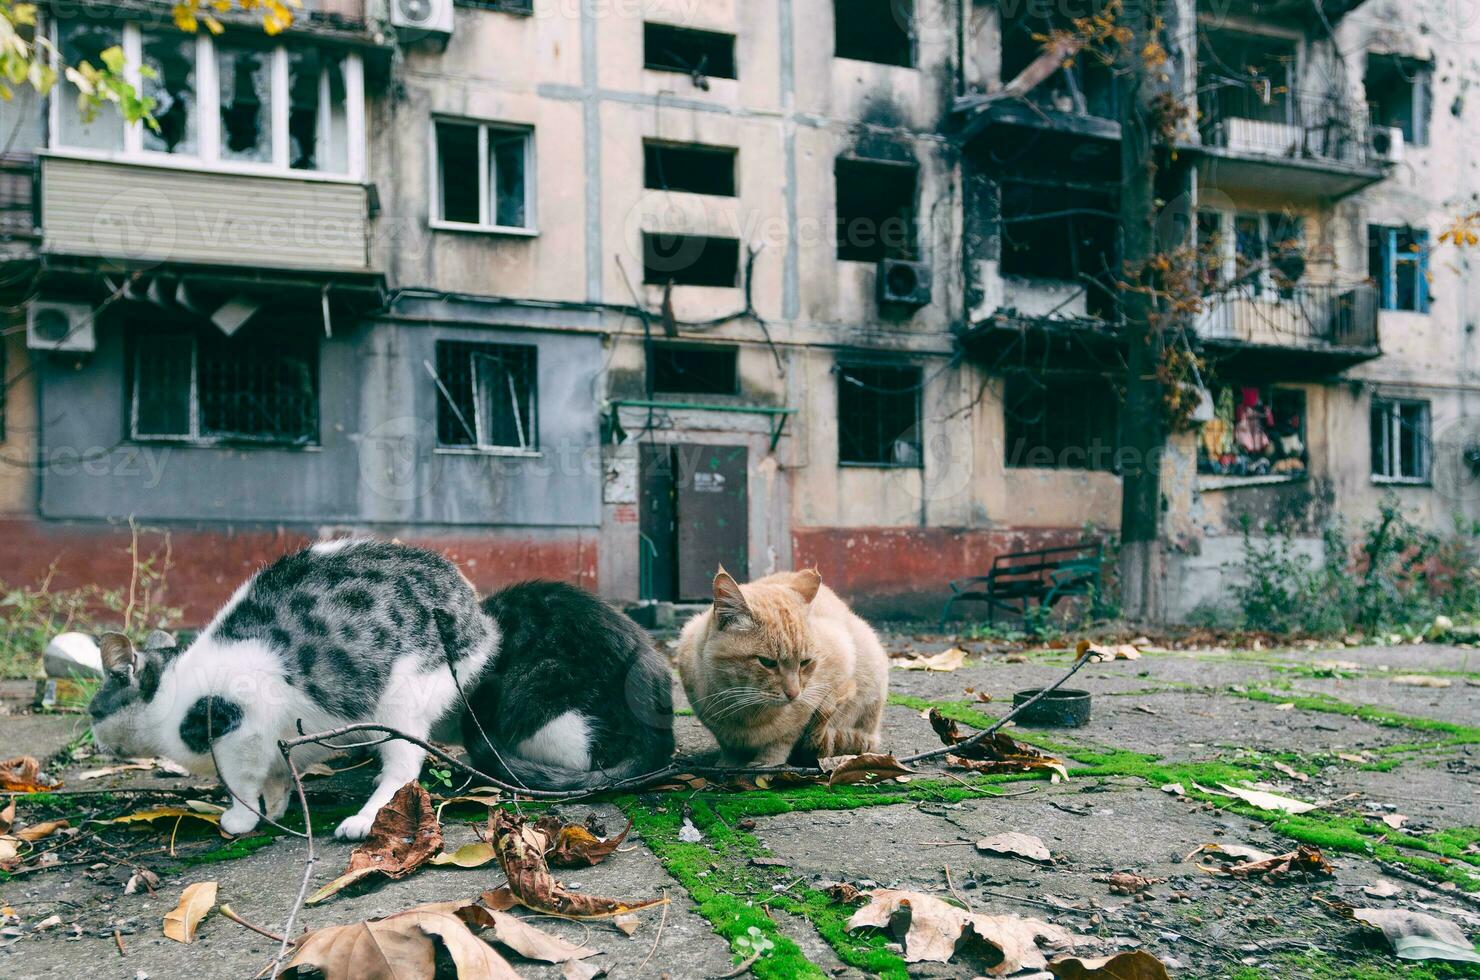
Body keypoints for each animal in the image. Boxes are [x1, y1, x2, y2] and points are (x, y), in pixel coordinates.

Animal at [89, 541, 500, 840]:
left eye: (93, 713)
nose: (95, 741)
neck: (172, 695)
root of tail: (474, 612)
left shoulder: (246, 727)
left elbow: (241, 783)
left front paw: (241, 819)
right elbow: (277, 778)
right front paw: (273, 808)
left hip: (401, 695)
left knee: (405, 764)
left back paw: (366, 817)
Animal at [674, 571, 882, 769]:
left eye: (805, 662)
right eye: (767, 662)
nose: (793, 694)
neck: (744, 710)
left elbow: (783, 739)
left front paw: (767, 763)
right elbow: (727, 745)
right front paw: (729, 763)